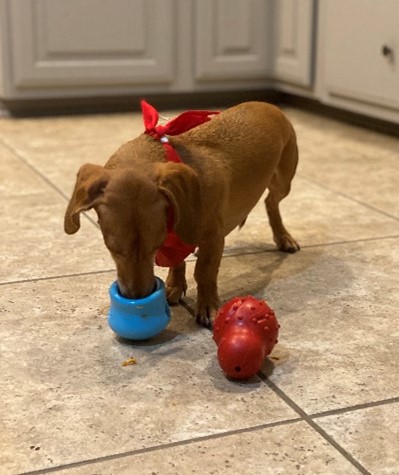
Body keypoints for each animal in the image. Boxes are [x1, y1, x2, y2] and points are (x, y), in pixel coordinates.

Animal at [64, 102, 300, 330]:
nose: (137, 298)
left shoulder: (213, 238)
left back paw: (284, 237)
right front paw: (174, 286)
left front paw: (208, 307)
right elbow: (177, 262)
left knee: (271, 202)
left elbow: (204, 272)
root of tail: (268, 105)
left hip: (283, 183)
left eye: (154, 247)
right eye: (112, 249)